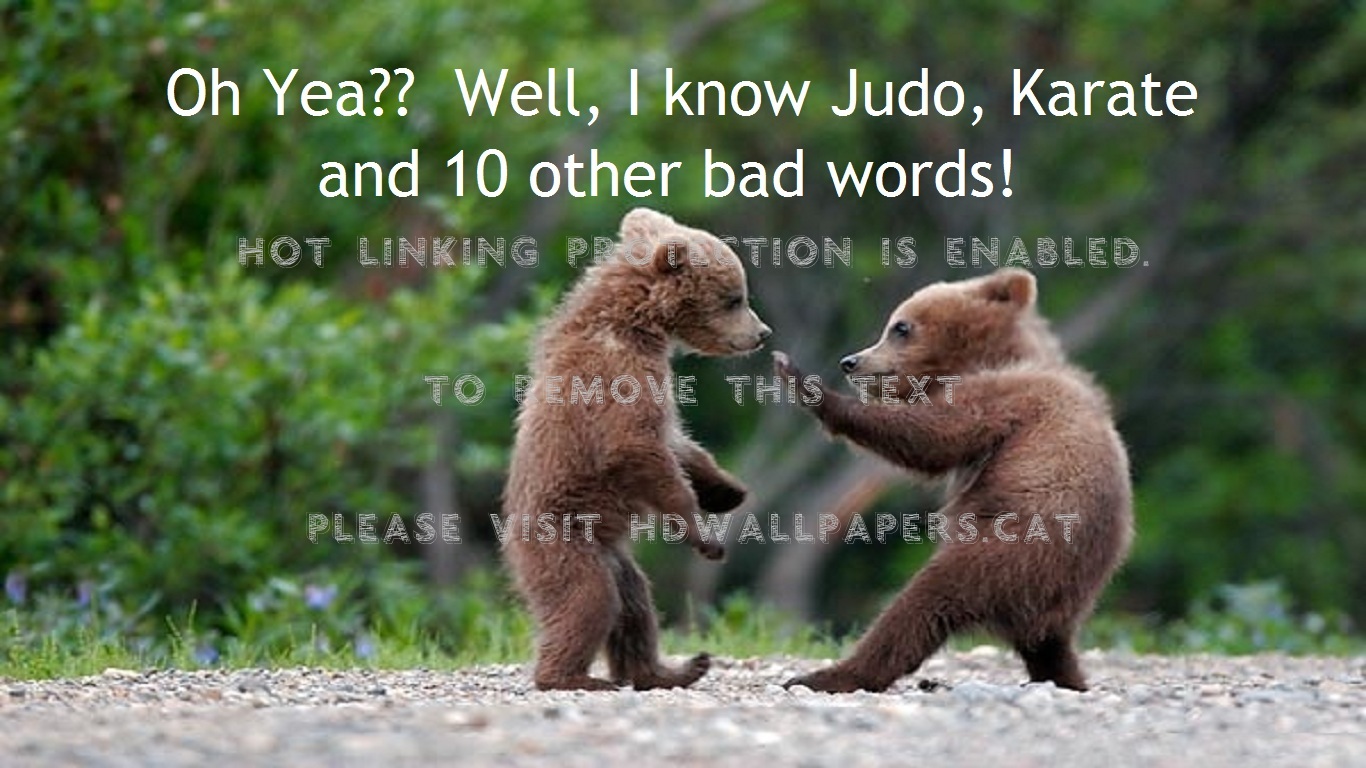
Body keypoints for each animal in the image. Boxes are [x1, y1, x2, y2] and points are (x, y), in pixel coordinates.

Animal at [503, 207, 771, 691]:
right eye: (734, 298)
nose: (761, 333)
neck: (637, 326)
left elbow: (677, 443)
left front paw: (727, 490)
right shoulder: (615, 377)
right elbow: (634, 447)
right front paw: (704, 535)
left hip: (613, 555)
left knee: (635, 605)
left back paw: (669, 669)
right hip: (563, 540)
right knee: (588, 600)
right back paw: (571, 677)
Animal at [772, 267, 1132, 693]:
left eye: (901, 326)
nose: (851, 361)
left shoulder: (1005, 400)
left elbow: (933, 436)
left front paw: (802, 381)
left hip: (1012, 549)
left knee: (923, 602)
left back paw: (829, 674)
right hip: (1054, 587)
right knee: (1047, 645)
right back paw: (1066, 677)